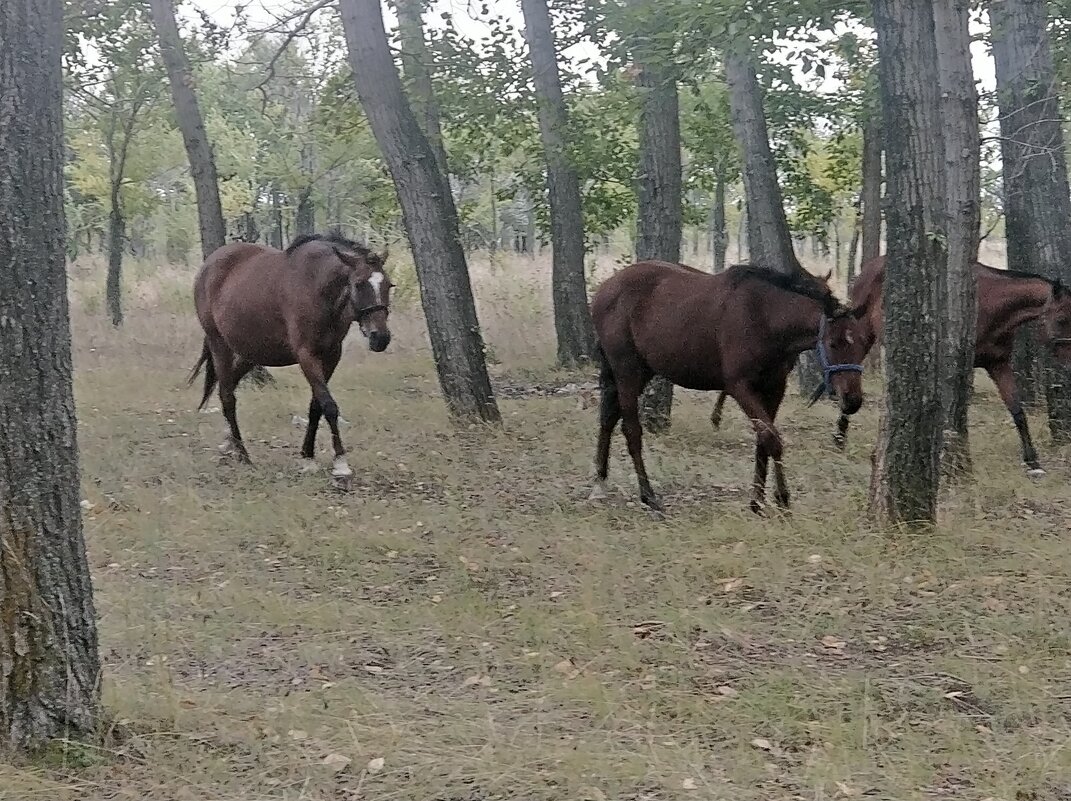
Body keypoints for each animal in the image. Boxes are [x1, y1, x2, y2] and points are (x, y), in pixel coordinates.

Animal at [189, 228, 394, 475]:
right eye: (359, 284)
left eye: (389, 285)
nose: (380, 337)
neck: (316, 288)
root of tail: (208, 266)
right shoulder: (307, 355)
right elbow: (329, 405)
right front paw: (340, 462)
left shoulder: (331, 356)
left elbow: (316, 406)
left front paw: (308, 456)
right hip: (219, 344)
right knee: (228, 397)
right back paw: (243, 454)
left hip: (250, 353)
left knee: (227, 388)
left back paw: (229, 444)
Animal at [591, 262, 873, 514]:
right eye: (834, 343)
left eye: (863, 344)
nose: (852, 400)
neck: (765, 317)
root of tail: (603, 290)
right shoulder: (739, 387)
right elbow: (772, 438)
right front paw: (782, 498)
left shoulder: (774, 388)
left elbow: (763, 440)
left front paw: (757, 501)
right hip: (627, 372)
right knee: (631, 431)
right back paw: (649, 497)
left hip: (638, 373)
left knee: (607, 418)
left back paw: (600, 479)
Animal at [711, 257, 1071, 473]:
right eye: (1062, 319)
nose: (1068, 361)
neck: (993, 304)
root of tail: (869, 267)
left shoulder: (998, 364)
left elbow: (1018, 411)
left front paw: (1033, 460)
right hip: (862, 335)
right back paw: (839, 431)